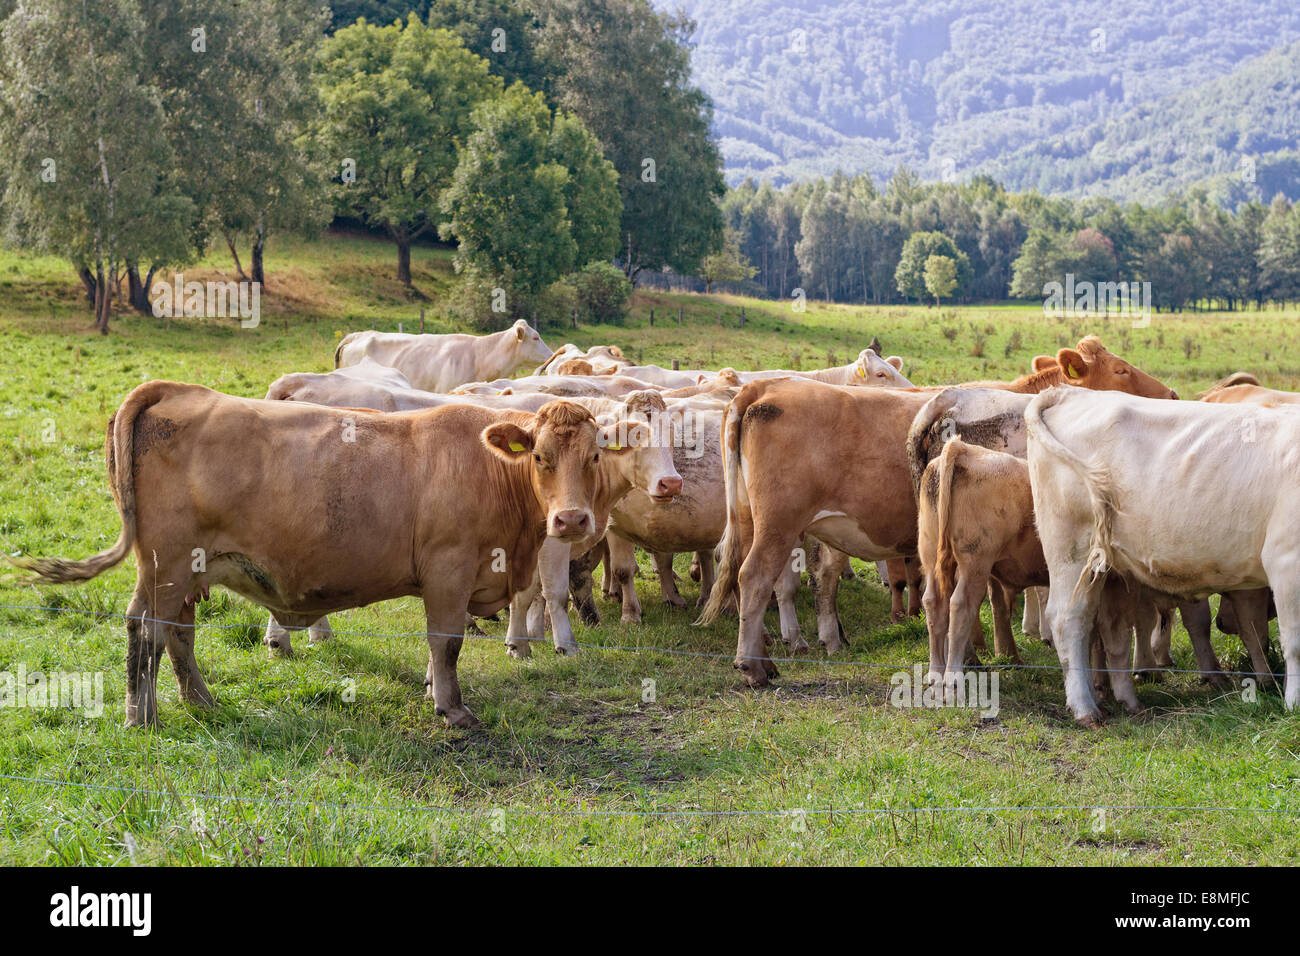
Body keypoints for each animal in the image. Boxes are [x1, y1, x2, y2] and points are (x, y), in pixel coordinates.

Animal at [13, 384, 644, 729]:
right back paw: (141, 715)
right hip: (165, 565)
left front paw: (431, 689)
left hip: (187, 570)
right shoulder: (449, 568)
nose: (571, 521)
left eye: (593, 456)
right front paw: (452, 708)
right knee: (145, 628)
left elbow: (437, 647)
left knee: (177, 633)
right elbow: (447, 642)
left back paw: (203, 703)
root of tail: (178, 389)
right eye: (539, 456)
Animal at [1025, 386, 1300, 725]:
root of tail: (1068, 392)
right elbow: (1294, 642)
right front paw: (1294, 704)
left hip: (1100, 568)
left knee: (1096, 625)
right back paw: (1084, 707)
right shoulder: (1286, 560)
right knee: (1068, 620)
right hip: (1070, 549)